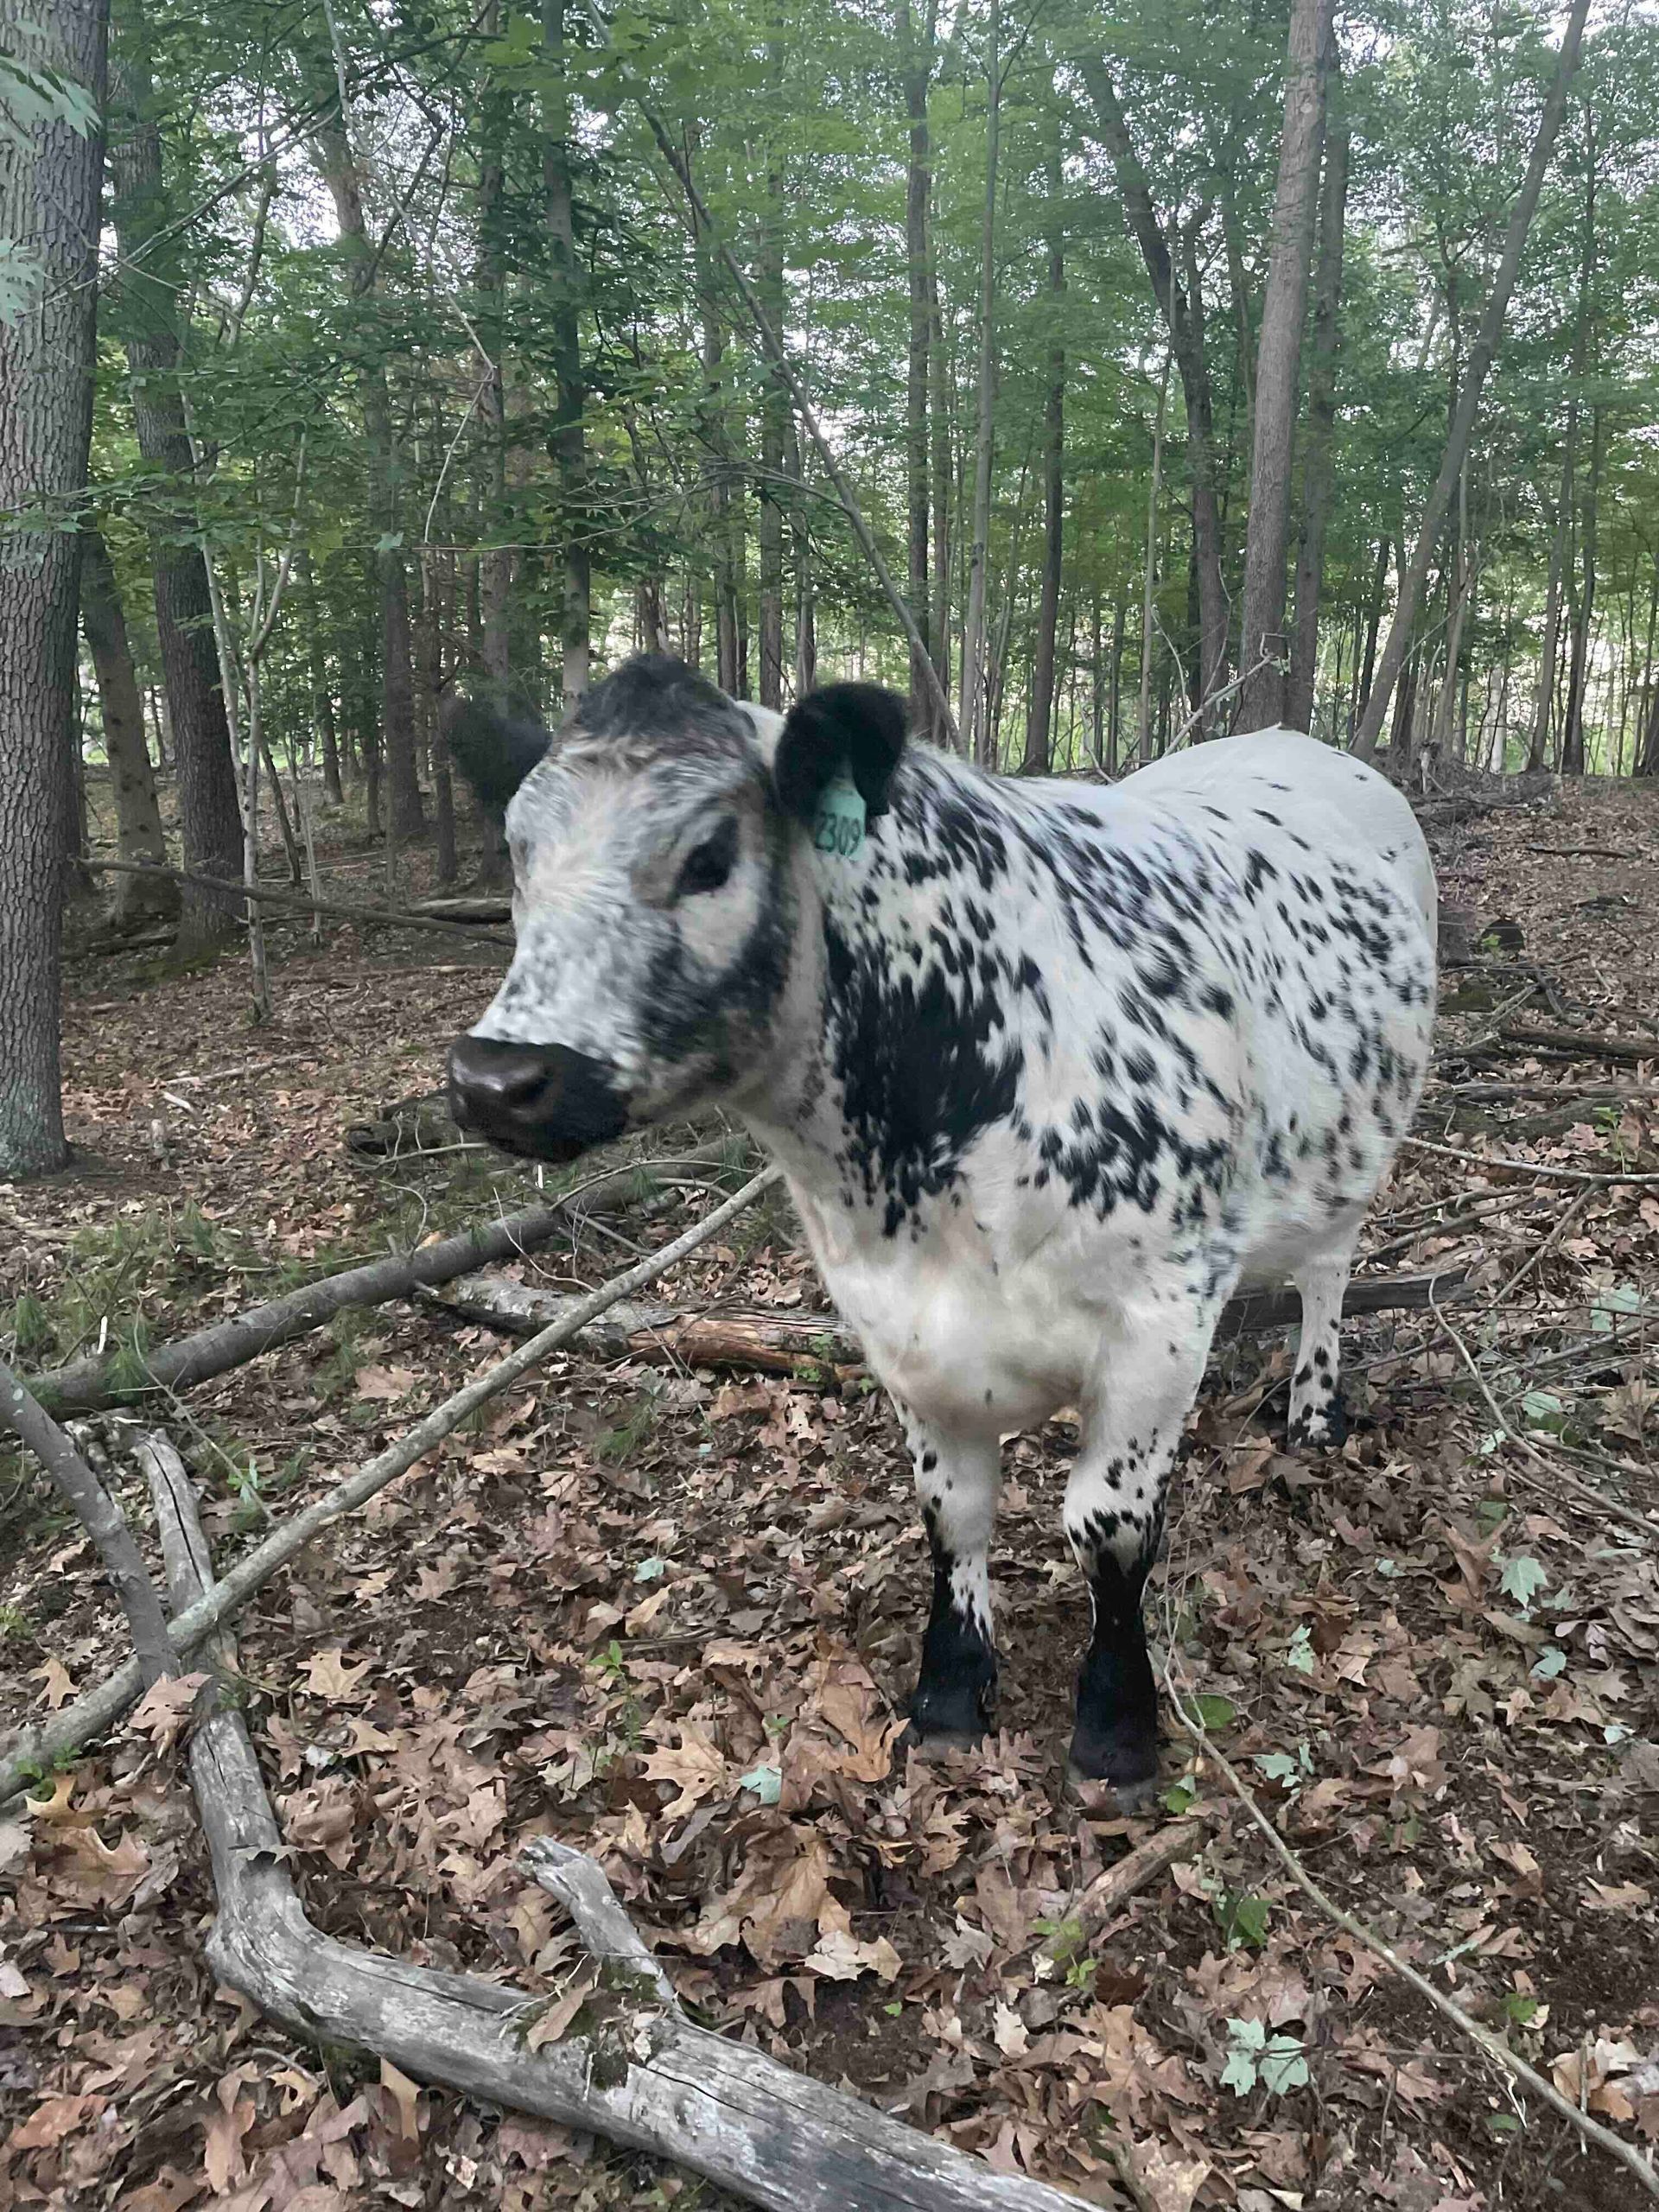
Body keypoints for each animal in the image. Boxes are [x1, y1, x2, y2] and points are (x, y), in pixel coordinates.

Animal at [445, 655, 1437, 1804]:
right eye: (516, 853)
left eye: (708, 856)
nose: (497, 1077)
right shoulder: (899, 1330)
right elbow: (954, 1513)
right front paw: (953, 1692)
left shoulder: (1160, 1317)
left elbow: (1107, 1525)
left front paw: (1116, 1728)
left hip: (1355, 1153)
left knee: (1328, 1269)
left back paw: (1315, 1405)